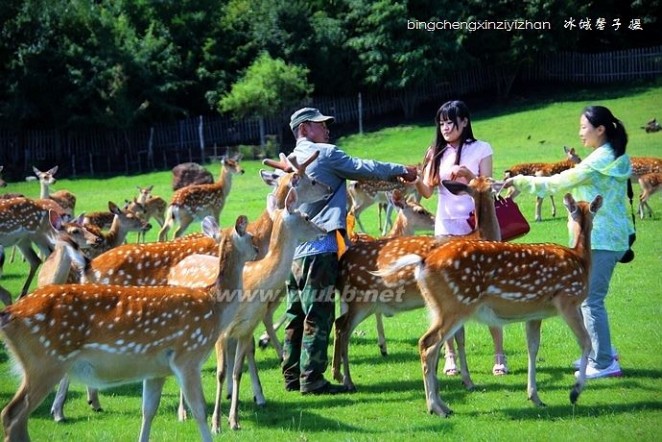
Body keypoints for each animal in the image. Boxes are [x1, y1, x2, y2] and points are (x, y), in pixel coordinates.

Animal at [0, 215, 258, 442]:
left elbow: (149, 411)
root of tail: (9, 314)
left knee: (16, 417)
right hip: (44, 362)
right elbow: (199, 411)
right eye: (251, 237)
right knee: (12, 414)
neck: (214, 306)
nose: (257, 250)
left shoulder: (157, 369)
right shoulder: (188, 356)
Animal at [334, 176, 500, 390]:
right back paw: (348, 380)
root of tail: (343, 262)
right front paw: (467, 380)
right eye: (490, 182)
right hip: (362, 299)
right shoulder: (459, 297)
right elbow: (458, 338)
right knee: (344, 329)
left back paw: (338, 374)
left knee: (338, 323)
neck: (479, 237)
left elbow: (457, 338)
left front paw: (447, 374)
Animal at [378, 194, 600, 418]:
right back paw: (435, 407)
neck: (581, 260)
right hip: (456, 305)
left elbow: (533, 348)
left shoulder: (534, 314)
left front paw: (535, 397)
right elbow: (586, 342)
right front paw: (574, 392)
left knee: (432, 345)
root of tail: (422, 261)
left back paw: (443, 405)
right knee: (427, 344)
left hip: (438, 307)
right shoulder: (568, 300)